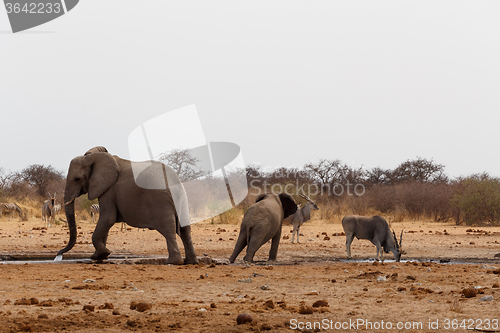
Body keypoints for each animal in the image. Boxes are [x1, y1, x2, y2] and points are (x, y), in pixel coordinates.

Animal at [57, 147, 198, 264]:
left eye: (77, 179)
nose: (59, 254)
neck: (94, 156)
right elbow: (106, 222)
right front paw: (99, 256)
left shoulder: (109, 190)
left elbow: (108, 218)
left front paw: (102, 254)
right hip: (182, 197)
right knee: (185, 229)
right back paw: (191, 262)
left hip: (160, 200)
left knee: (168, 228)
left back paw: (172, 262)